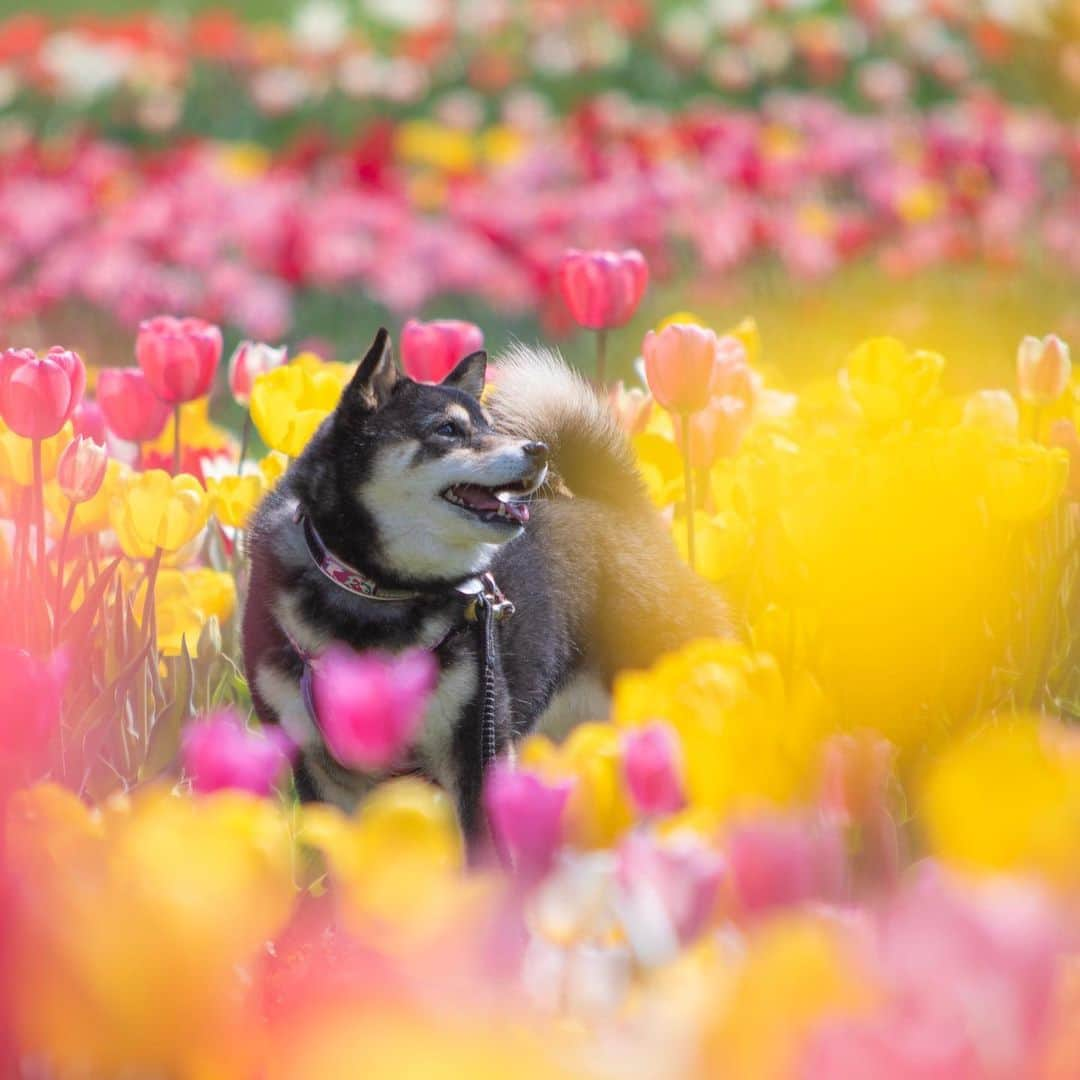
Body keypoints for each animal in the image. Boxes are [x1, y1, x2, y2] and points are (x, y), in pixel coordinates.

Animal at [243, 332, 734, 838]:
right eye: (447, 429)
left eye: (489, 425)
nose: (537, 449)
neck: (378, 590)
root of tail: (626, 512)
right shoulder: (318, 767)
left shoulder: (477, 744)